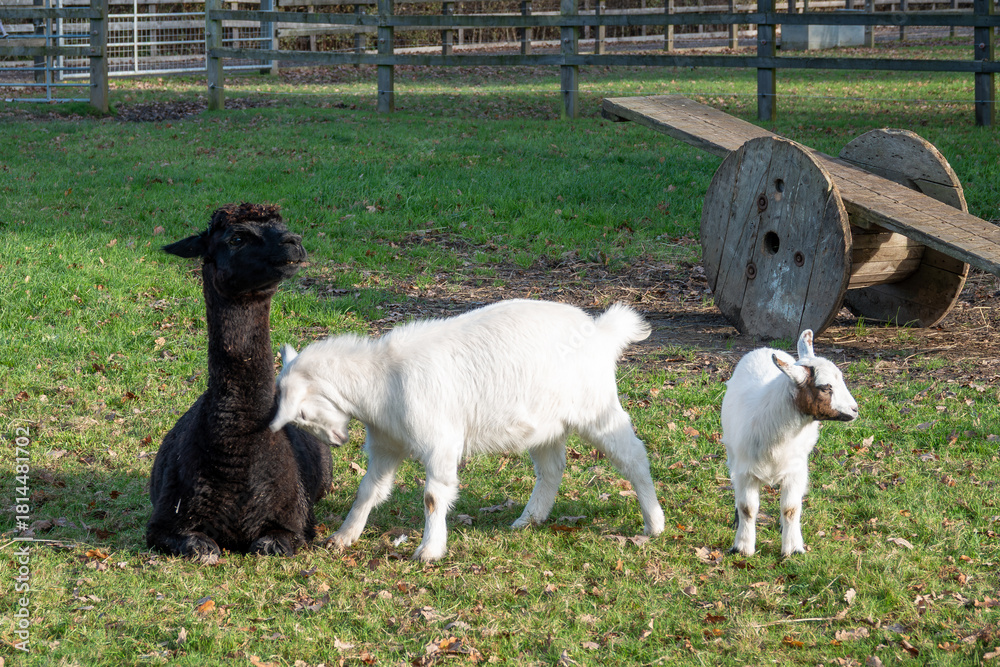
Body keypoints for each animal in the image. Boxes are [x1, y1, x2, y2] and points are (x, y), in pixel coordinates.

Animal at [270, 299, 665, 562]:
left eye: (302, 411)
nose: (338, 441)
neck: (383, 378)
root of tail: (601, 333)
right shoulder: (386, 445)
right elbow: (369, 490)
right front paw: (343, 537)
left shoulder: (440, 441)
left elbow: (433, 496)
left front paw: (429, 550)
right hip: (546, 424)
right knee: (552, 468)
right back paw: (529, 519)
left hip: (596, 407)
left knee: (632, 454)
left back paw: (654, 524)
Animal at [721, 330, 858, 557]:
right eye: (825, 387)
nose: (855, 409)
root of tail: (765, 348)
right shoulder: (745, 471)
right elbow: (748, 508)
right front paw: (742, 547)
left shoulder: (796, 470)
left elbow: (790, 509)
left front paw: (793, 548)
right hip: (732, 453)